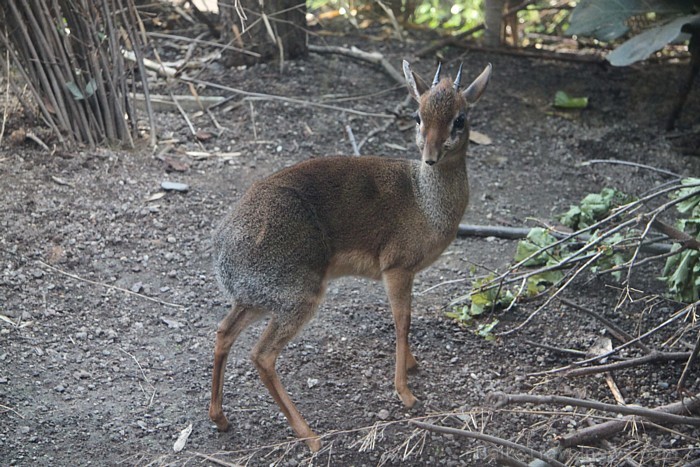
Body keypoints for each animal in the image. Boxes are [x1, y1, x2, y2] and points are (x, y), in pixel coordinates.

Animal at [208, 60, 492, 452]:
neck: (424, 201)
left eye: (460, 119)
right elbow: (402, 322)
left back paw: (220, 418)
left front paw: (413, 365)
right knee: (262, 355)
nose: (431, 157)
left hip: (259, 299)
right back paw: (310, 436)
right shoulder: (397, 268)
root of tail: (222, 249)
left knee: (223, 331)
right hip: (299, 297)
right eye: (417, 116)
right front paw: (405, 392)